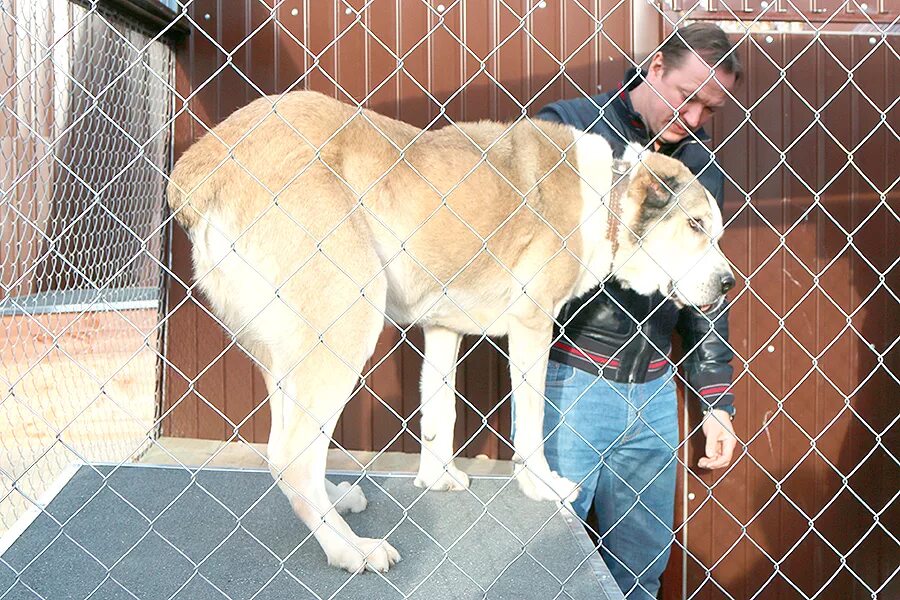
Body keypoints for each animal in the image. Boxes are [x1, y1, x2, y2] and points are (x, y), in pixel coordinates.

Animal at [165, 91, 736, 576]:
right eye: (695, 226)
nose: (729, 282)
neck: (608, 199)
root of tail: (202, 166)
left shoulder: (441, 328)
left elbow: (439, 411)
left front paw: (437, 479)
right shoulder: (532, 324)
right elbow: (531, 423)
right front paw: (541, 486)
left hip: (290, 347)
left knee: (288, 445)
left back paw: (337, 502)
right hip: (348, 318)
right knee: (290, 455)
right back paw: (350, 550)